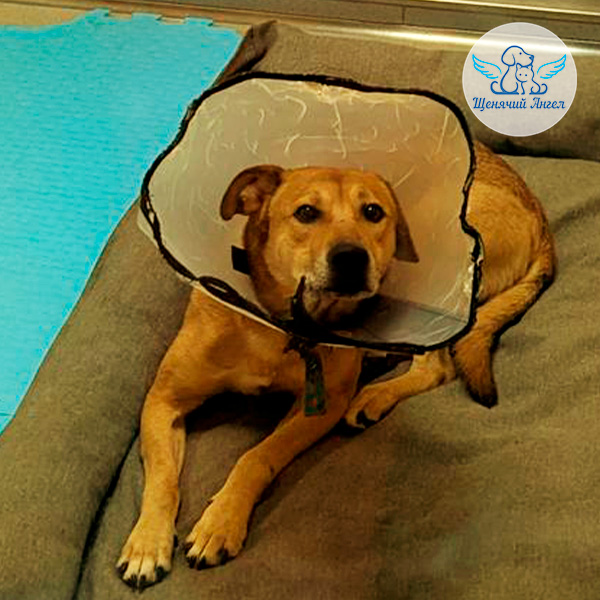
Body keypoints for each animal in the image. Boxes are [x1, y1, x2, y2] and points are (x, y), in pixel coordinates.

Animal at [116, 142, 555, 589]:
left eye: (373, 212)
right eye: (307, 212)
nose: (351, 258)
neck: (274, 325)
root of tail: (538, 215)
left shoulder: (317, 409)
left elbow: (256, 456)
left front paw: (221, 521)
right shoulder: (162, 400)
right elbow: (162, 477)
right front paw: (147, 543)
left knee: (436, 366)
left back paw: (373, 395)